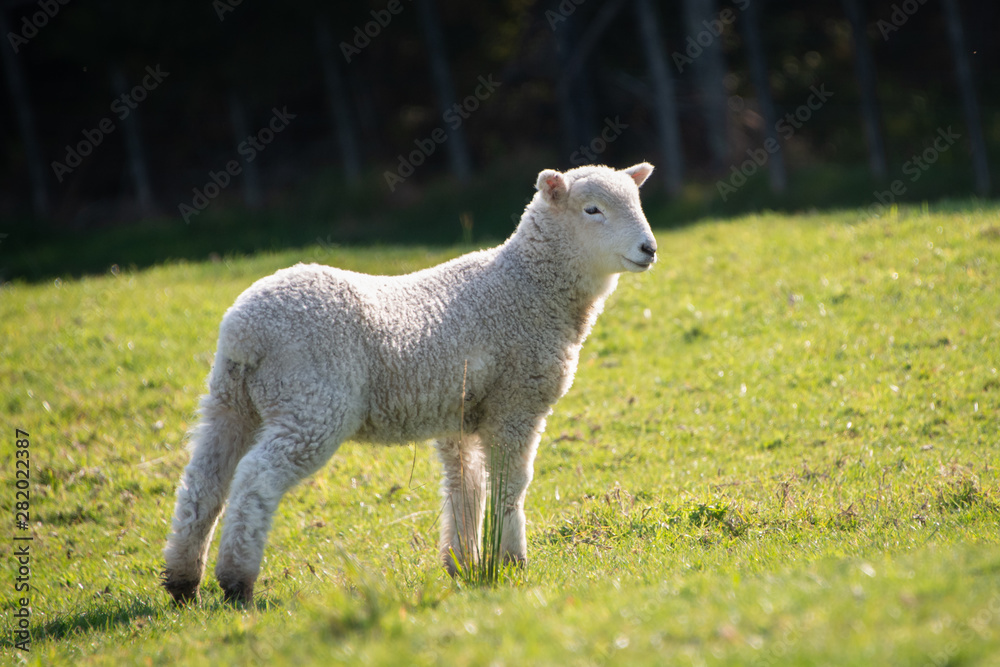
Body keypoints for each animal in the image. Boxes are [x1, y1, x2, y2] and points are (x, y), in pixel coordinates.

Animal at [162, 162, 658, 605]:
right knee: (255, 479)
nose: (649, 248)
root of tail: (245, 332)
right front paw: (511, 563)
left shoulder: (459, 415)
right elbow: (509, 485)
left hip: (230, 402)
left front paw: (464, 564)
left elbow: (465, 487)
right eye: (592, 209)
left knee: (203, 483)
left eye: (637, 202)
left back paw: (183, 583)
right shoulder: (516, 403)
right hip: (313, 403)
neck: (527, 286)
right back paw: (236, 583)